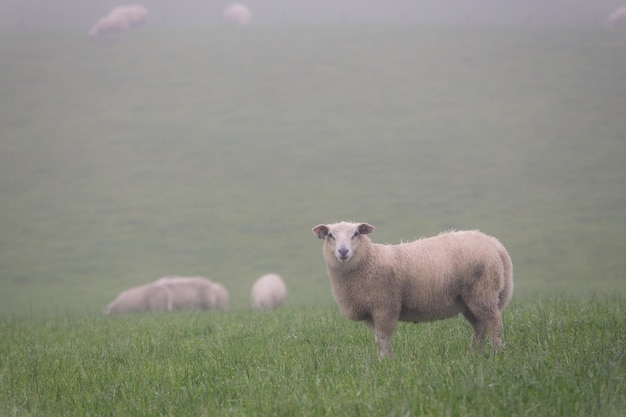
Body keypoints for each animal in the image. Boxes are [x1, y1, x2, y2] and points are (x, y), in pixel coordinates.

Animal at [310, 221, 512, 358]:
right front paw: (383, 360)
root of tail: (496, 245)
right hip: (469, 299)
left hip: (482, 291)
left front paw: (386, 362)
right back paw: (473, 354)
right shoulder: (371, 312)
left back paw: (496, 351)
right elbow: (377, 339)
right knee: (479, 326)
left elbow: (383, 338)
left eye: (356, 234)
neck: (369, 260)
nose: (343, 251)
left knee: (493, 323)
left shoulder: (385, 306)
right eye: (330, 235)